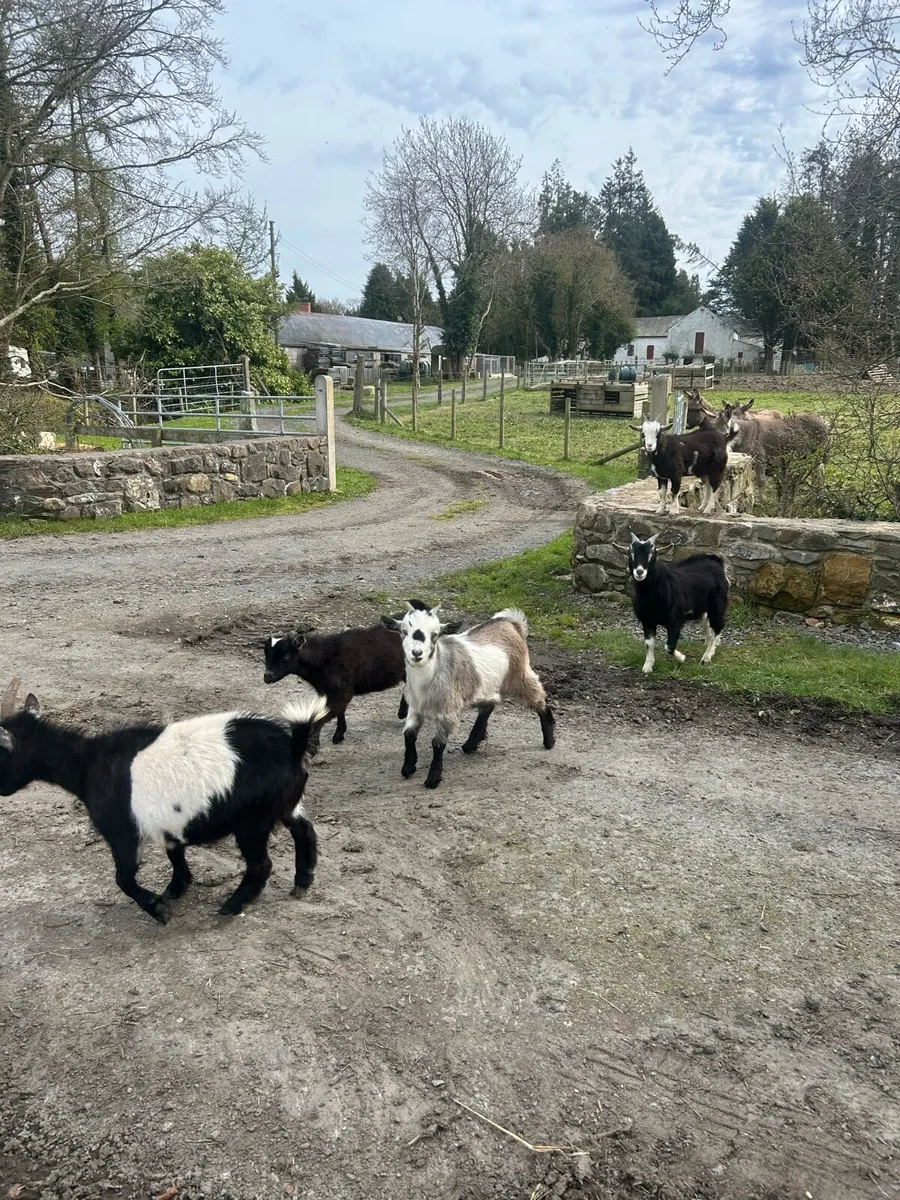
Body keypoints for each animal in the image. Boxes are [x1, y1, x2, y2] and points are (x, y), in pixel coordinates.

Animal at [0, 677, 327, 924]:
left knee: (261, 865)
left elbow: (123, 878)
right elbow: (174, 853)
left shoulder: (123, 832)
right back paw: (302, 881)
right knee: (305, 830)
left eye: (2, 752)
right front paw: (175, 889)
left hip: (253, 820)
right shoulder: (171, 822)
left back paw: (232, 906)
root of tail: (294, 745)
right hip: (286, 803)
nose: (1, 791)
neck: (89, 765)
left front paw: (159, 909)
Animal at [263, 623, 410, 743]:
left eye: (286, 657)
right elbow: (339, 711)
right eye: (266, 655)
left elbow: (332, 712)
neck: (324, 658)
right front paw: (339, 735)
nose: (267, 677)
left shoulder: (342, 690)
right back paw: (403, 712)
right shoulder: (329, 691)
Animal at [381, 600, 555, 790]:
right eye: (404, 631)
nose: (417, 654)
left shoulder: (447, 711)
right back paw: (471, 743)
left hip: (519, 674)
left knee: (539, 699)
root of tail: (511, 623)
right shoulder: (415, 707)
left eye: (435, 635)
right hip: (485, 686)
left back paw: (549, 740)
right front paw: (408, 767)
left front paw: (433, 778)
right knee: (488, 706)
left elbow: (437, 744)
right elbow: (409, 734)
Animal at [616, 534, 729, 674]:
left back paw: (707, 655)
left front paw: (681, 658)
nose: (640, 572)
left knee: (718, 625)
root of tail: (717, 561)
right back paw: (709, 642)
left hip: (717, 603)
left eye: (653, 554)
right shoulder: (647, 620)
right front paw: (648, 666)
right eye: (630, 554)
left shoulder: (675, 621)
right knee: (706, 620)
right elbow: (649, 643)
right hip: (702, 606)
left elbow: (669, 646)